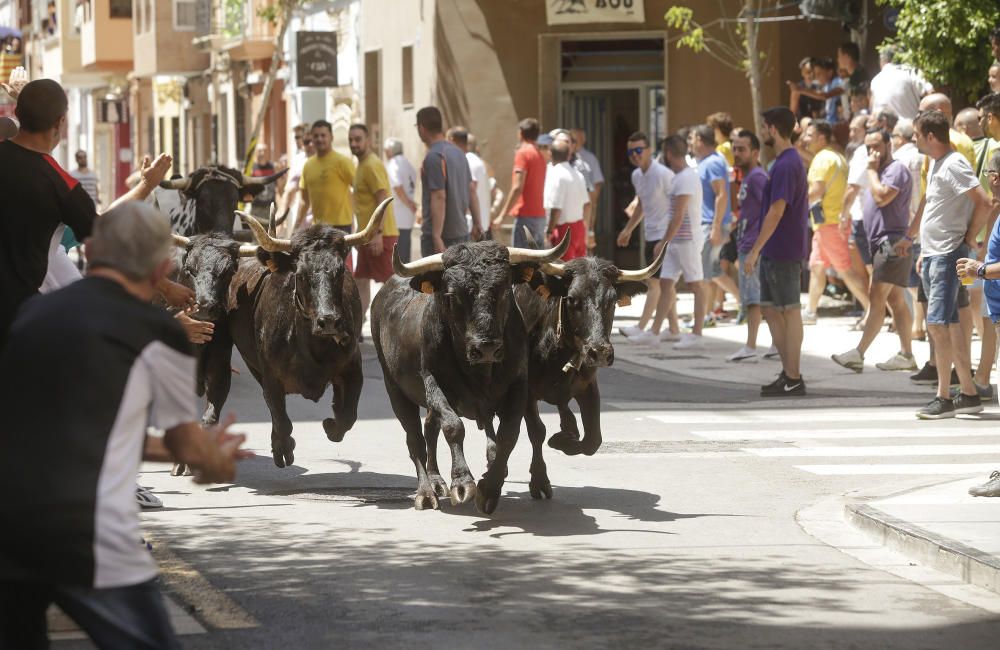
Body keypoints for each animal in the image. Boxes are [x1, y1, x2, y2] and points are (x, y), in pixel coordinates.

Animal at [370, 235, 572, 512]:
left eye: (504, 290)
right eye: (452, 295)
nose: (485, 347)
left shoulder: (518, 386)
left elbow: (508, 436)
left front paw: (489, 489)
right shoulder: (433, 382)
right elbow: (453, 426)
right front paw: (463, 484)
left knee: (430, 428)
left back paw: (437, 481)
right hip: (395, 390)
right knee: (414, 438)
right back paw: (426, 492)